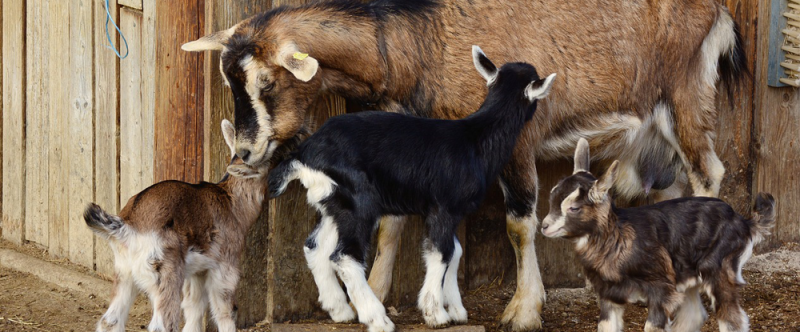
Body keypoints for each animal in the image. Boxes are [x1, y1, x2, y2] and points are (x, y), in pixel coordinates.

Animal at [184, 1, 748, 330]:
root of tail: (719, 11)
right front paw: (380, 295)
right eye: (228, 80)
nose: (244, 156)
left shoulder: (517, 142)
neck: (417, 43)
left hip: (686, 95)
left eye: (267, 82)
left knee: (709, 174)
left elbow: (519, 225)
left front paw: (523, 311)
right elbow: (395, 226)